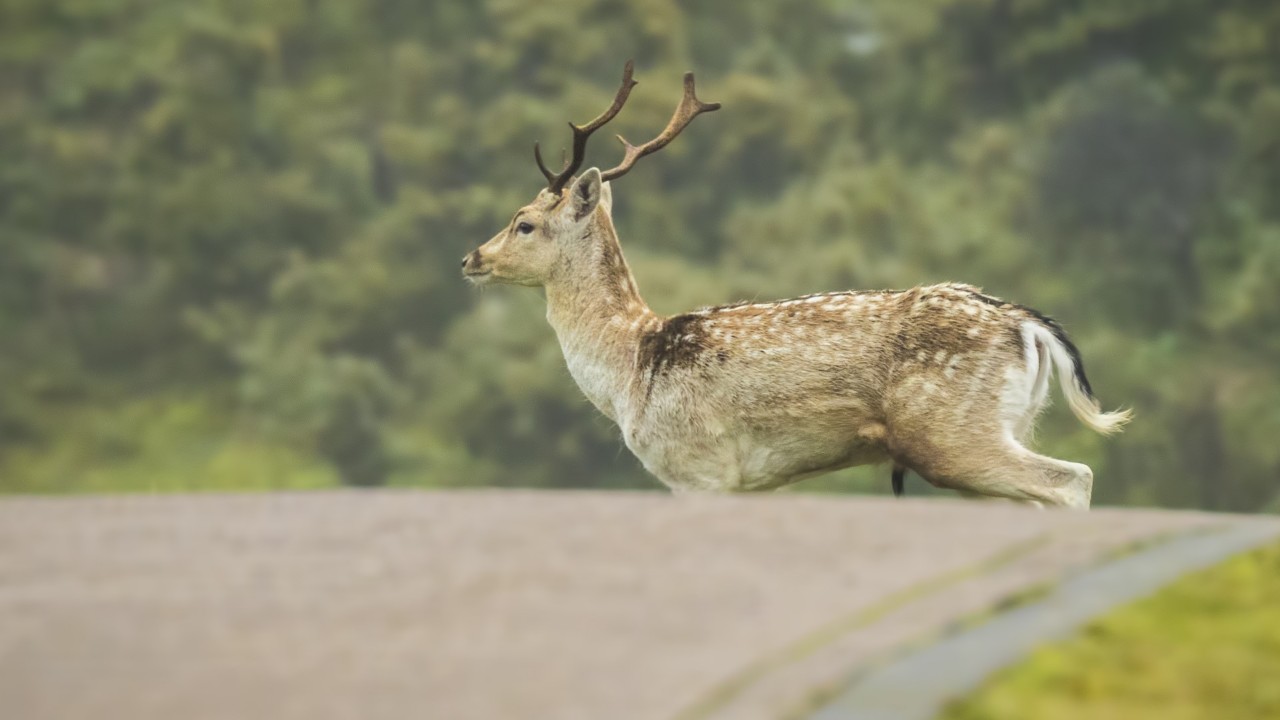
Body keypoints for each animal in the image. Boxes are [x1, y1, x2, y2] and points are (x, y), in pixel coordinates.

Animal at [460, 63, 1131, 509]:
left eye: (524, 221)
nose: (472, 257)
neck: (632, 367)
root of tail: (1029, 326)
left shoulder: (700, 468)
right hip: (1008, 425)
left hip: (953, 433)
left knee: (1073, 479)